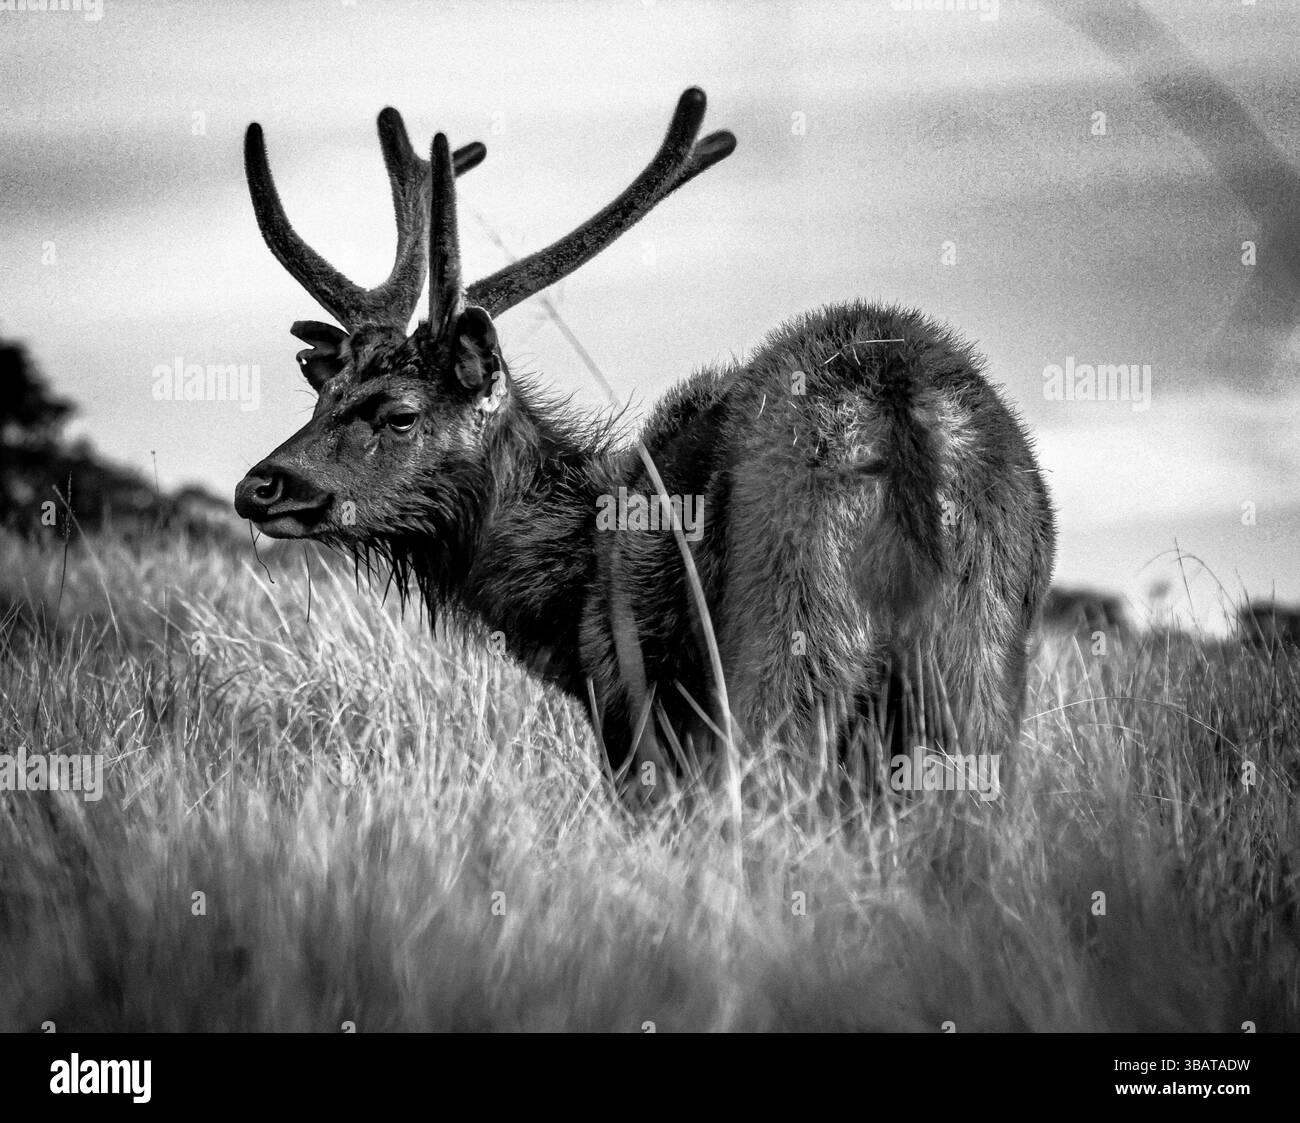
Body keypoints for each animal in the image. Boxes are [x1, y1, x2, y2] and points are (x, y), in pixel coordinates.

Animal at [234, 88, 1056, 800]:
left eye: (400, 415)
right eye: (324, 395)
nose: (260, 484)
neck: (565, 597)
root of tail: (898, 411)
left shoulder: (630, 692)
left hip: (791, 630)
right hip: (981, 651)